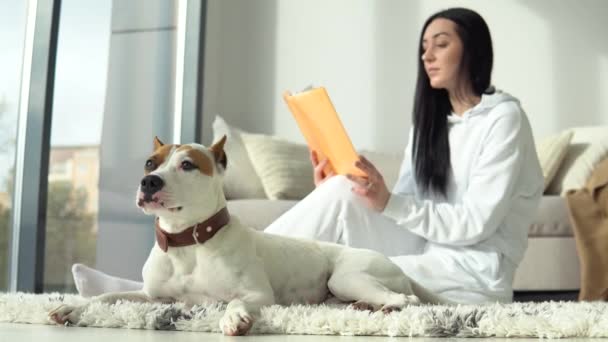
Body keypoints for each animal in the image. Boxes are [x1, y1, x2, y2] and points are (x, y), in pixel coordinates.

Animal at [48, 136, 446, 334]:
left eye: (187, 165)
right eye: (150, 163)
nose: (150, 182)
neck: (187, 242)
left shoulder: (257, 294)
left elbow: (235, 302)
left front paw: (232, 318)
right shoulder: (152, 296)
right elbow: (108, 297)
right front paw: (73, 305)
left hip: (348, 276)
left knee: (406, 300)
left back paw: (384, 307)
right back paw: (364, 308)